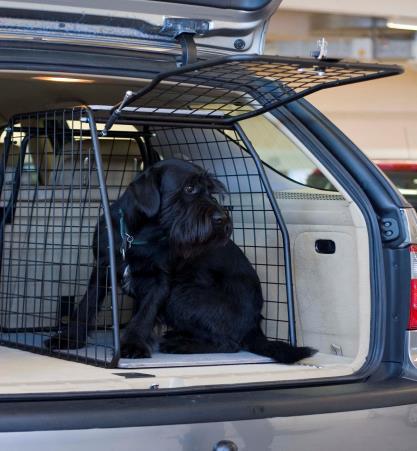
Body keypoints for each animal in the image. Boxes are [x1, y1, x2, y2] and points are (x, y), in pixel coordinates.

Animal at [45, 159, 316, 364]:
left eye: (210, 190)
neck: (139, 236)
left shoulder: (161, 282)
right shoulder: (102, 267)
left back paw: (181, 345)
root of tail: (255, 324)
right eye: (189, 189)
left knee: (228, 343)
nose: (222, 220)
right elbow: (86, 305)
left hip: (182, 294)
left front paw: (132, 345)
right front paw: (69, 339)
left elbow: (144, 314)